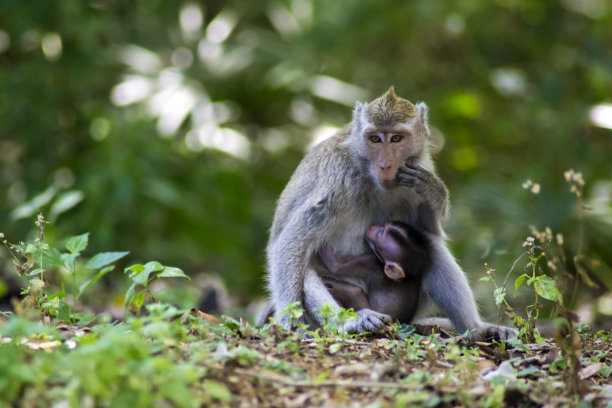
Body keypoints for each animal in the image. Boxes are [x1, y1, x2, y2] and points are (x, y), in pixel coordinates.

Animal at [262, 87, 516, 340]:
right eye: (374, 139)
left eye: (396, 138)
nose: (385, 165)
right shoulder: (337, 179)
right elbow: (290, 242)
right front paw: (289, 321)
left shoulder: (418, 169)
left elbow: (428, 230)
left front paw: (434, 190)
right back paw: (351, 322)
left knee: (430, 247)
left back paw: (476, 330)